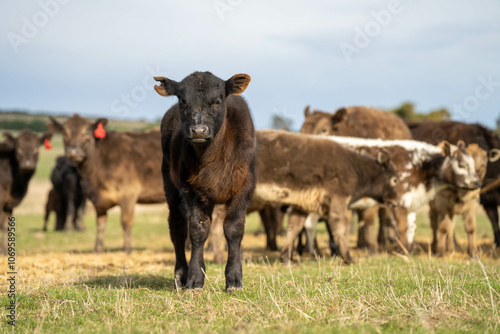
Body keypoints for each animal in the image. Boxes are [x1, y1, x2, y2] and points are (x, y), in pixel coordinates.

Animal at [47, 115, 164, 253]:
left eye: (86, 132)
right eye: (64, 132)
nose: (74, 152)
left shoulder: (128, 194)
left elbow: (126, 223)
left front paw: (127, 248)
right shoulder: (98, 201)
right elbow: (100, 224)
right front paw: (97, 248)